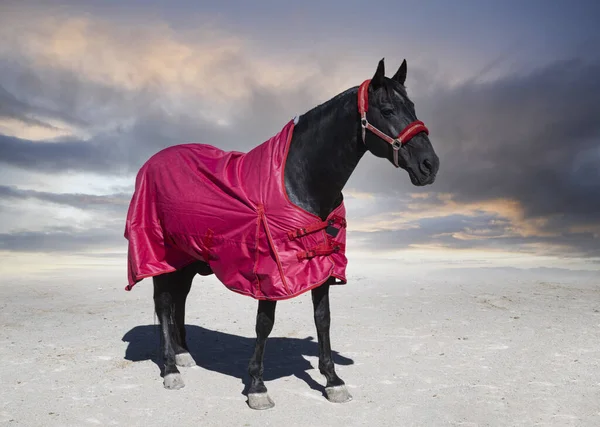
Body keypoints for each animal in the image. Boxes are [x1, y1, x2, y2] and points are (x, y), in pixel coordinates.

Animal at [123, 58, 440, 410]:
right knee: (164, 303)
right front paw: (257, 387)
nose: (430, 165)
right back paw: (170, 369)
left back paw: (183, 355)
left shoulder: (321, 265)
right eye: (386, 110)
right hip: (161, 255)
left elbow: (323, 318)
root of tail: (152, 163)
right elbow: (264, 324)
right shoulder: (269, 272)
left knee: (178, 300)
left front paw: (333, 381)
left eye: (412, 107)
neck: (298, 181)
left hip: (188, 260)